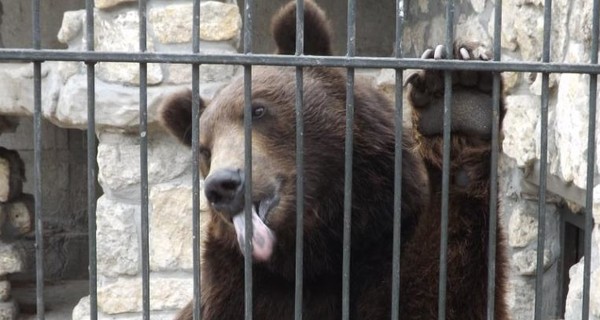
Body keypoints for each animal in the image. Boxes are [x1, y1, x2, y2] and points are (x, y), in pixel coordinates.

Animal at [158, 1, 506, 318]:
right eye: (204, 149)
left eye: (258, 110)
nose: (223, 184)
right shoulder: (235, 287)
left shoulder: (386, 244)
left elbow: (442, 287)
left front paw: (460, 98)